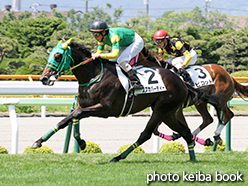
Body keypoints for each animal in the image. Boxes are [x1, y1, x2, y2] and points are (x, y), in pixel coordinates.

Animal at [31, 38, 219, 161]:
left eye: (57, 56)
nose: (44, 78)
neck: (93, 75)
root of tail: (181, 81)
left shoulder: (104, 109)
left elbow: (76, 116)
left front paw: (80, 143)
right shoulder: (83, 104)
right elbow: (69, 119)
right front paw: (40, 141)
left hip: (161, 109)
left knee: (146, 134)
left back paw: (118, 157)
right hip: (169, 113)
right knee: (185, 132)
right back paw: (193, 159)